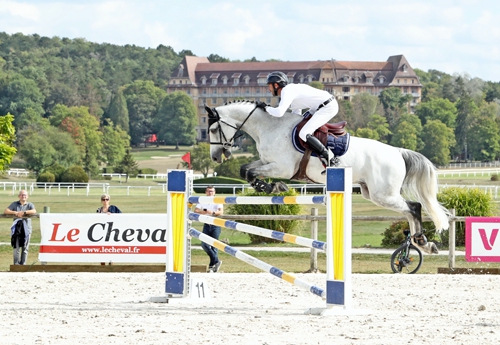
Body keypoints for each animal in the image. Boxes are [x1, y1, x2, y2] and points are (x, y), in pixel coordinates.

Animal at [205, 99, 452, 253]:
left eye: (213, 129)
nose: (216, 157)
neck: (270, 127)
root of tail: (398, 152)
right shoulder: (267, 163)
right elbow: (245, 170)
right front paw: (269, 187)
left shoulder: (282, 167)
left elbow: (251, 172)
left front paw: (273, 187)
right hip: (372, 193)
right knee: (410, 210)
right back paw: (422, 243)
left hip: (384, 195)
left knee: (414, 207)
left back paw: (422, 242)